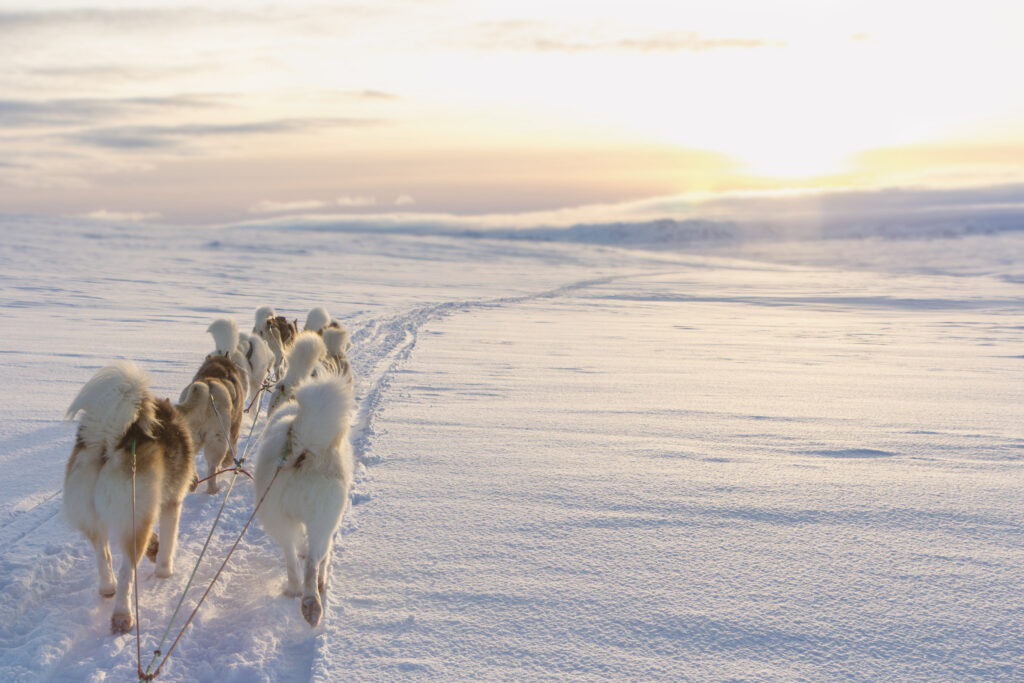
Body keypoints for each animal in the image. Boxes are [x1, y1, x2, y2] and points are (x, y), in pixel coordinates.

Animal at [62, 362, 195, 634]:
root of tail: (109, 441)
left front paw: (155, 548)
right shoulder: (171, 503)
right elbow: (168, 543)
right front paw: (164, 571)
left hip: (101, 520)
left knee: (103, 555)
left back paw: (107, 588)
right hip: (134, 521)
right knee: (126, 573)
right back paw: (122, 614)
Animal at [177, 356, 246, 493]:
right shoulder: (235, 424)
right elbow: (233, 447)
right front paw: (228, 462)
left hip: (191, 437)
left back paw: (193, 481)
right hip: (218, 437)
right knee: (212, 467)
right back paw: (213, 489)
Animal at [252, 376, 356, 626]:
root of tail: (303, 447)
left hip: (282, 519)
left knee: (292, 559)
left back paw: (304, 599)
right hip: (322, 522)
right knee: (313, 562)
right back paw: (312, 593)